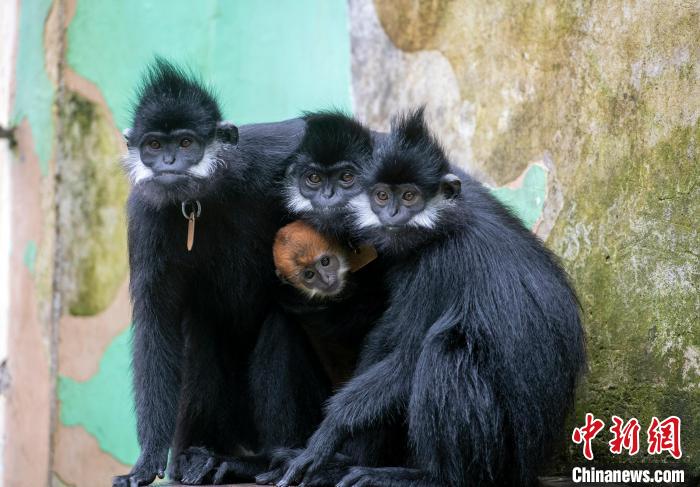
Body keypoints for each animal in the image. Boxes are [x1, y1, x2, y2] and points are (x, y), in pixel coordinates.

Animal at [113, 59, 328, 486]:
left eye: (185, 144)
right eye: (154, 146)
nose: (169, 164)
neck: (203, 199)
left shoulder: (271, 155)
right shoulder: (145, 214)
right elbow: (156, 323)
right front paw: (147, 460)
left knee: (279, 327)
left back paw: (262, 462)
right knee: (200, 336)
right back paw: (198, 459)